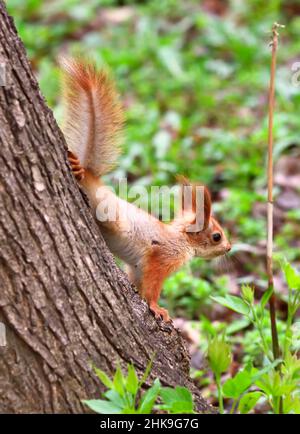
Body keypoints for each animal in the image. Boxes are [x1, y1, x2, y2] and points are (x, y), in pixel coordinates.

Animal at [59, 57, 231, 320]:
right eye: (216, 236)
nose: (229, 248)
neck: (181, 239)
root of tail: (91, 174)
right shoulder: (162, 257)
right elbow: (152, 285)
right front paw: (157, 307)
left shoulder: (138, 267)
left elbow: (138, 280)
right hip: (108, 211)